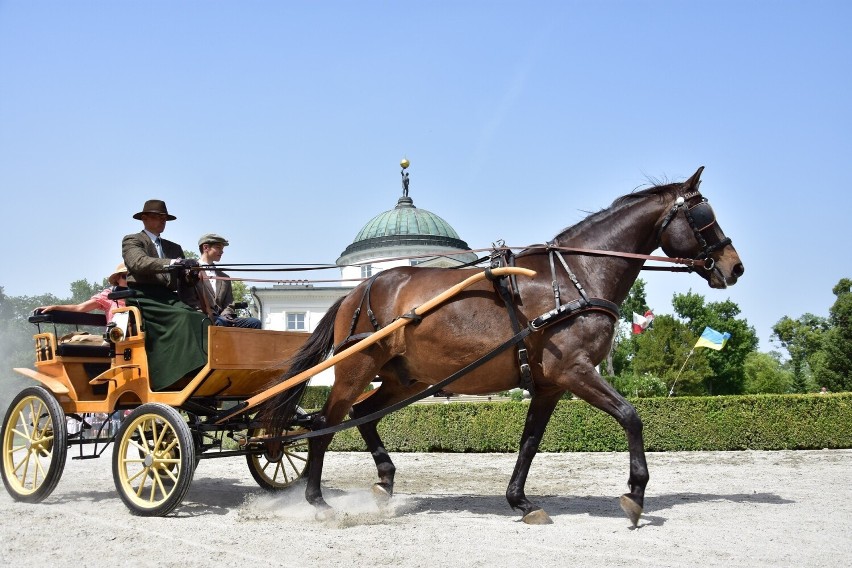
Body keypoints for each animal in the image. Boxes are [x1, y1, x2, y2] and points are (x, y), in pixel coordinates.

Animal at [262, 166, 744, 524]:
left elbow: (530, 442)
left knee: (362, 415)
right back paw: (316, 500)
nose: (734, 266)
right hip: (356, 369)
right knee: (324, 424)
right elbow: (631, 416)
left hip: (403, 378)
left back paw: (384, 478)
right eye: (703, 214)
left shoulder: (551, 384)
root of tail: (360, 287)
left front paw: (521, 501)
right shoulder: (575, 370)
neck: (574, 277)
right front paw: (636, 494)